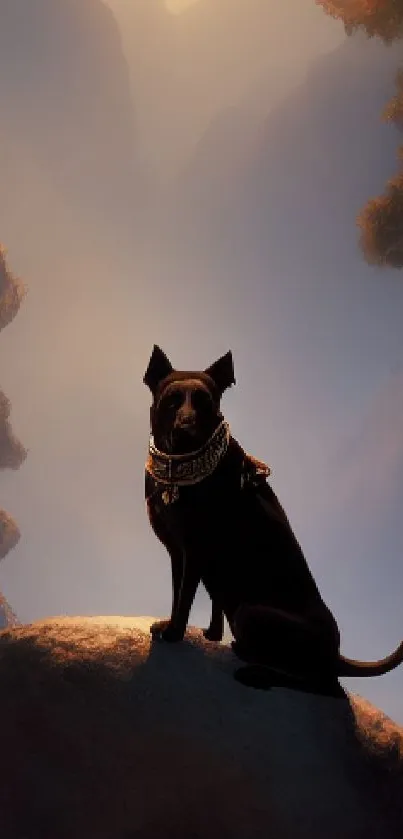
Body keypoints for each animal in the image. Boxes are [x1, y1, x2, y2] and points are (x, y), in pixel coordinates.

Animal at [144, 344, 403, 692]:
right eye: (172, 400)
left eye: (206, 403)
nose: (186, 431)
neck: (179, 470)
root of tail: (337, 654)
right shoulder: (178, 552)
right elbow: (181, 595)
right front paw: (187, 629)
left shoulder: (195, 550)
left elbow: (184, 598)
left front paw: (174, 634)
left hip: (250, 612)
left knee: (327, 686)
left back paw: (258, 674)